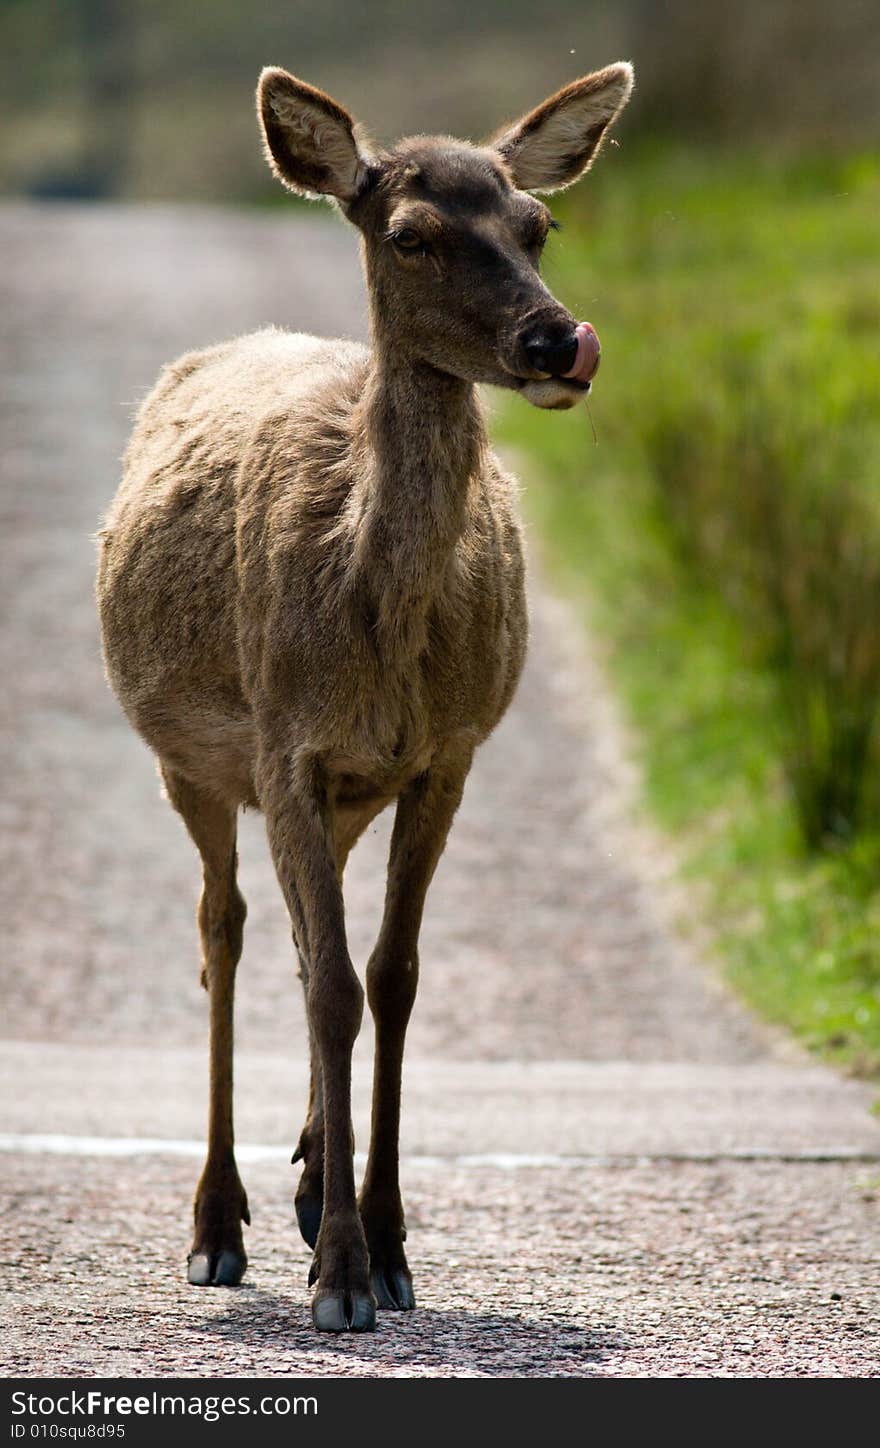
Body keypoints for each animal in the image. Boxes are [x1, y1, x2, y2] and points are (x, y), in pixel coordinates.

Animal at [96, 59, 631, 1332]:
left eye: (537, 224)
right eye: (411, 235)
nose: (560, 340)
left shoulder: (445, 752)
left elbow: (387, 978)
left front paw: (385, 1242)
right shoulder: (286, 742)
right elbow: (333, 986)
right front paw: (340, 1272)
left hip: (339, 794)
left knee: (303, 939)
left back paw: (299, 1180)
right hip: (192, 761)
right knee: (227, 931)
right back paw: (218, 1221)